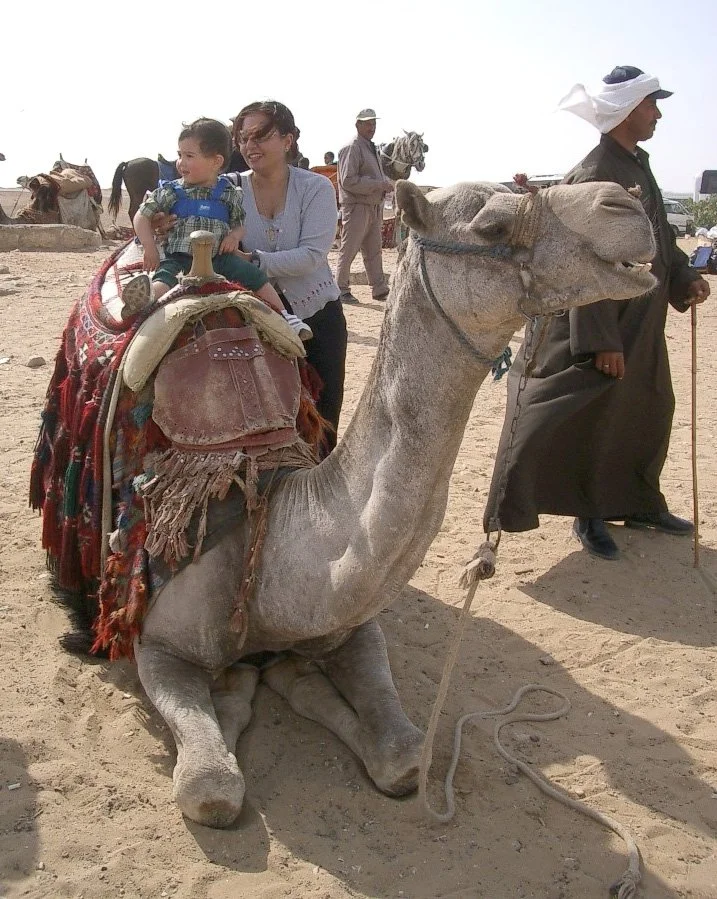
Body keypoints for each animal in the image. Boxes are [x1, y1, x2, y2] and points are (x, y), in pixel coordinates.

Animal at [98, 178, 655, 830]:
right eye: (491, 225)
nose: (624, 203)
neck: (271, 530)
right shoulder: (157, 645)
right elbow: (211, 789)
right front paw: (241, 691)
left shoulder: (352, 627)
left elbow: (406, 757)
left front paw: (290, 676)